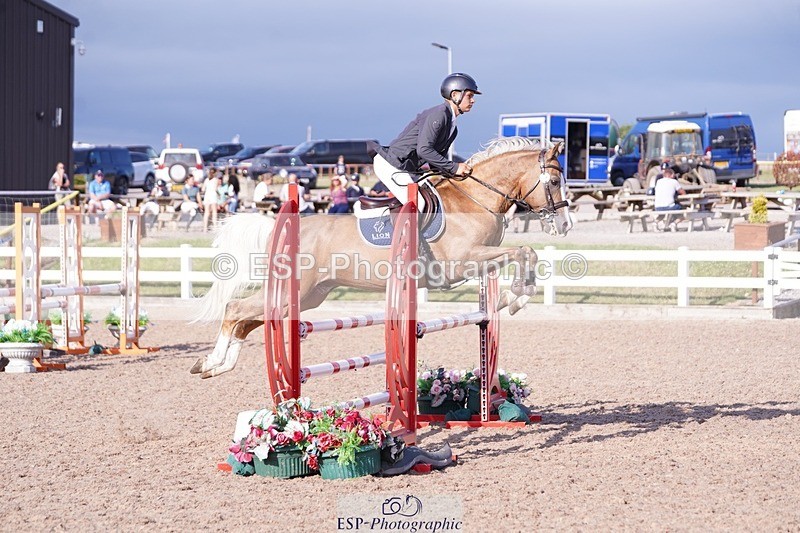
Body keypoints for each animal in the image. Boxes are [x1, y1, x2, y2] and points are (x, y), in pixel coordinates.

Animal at [190, 137, 571, 378]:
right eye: (554, 181)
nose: (566, 224)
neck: (474, 200)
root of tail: (279, 227)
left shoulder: (480, 260)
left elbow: (524, 254)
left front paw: (512, 297)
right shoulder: (461, 262)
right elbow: (524, 251)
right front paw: (516, 296)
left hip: (307, 296)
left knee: (250, 318)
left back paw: (214, 366)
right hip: (295, 291)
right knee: (235, 309)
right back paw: (212, 362)